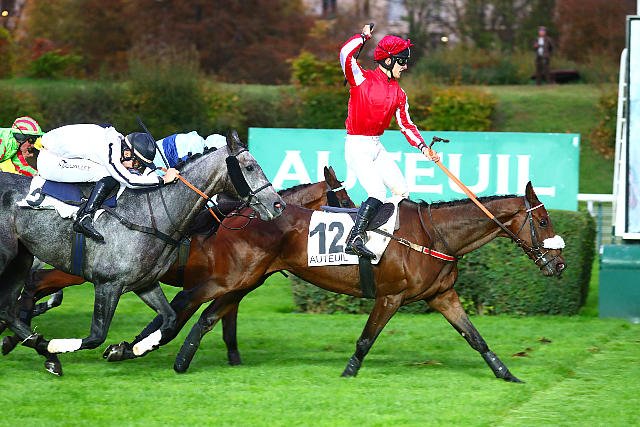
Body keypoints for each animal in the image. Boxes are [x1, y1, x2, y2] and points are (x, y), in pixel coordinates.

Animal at [0, 132, 284, 375]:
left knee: (8, 310)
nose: (277, 204)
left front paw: (126, 349)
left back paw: (41, 351)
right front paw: (55, 345)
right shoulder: (108, 284)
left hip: (21, 260)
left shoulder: (145, 283)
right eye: (250, 167)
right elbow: (96, 336)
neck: (151, 214)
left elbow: (169, 321)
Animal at [1, 166, 354, 365]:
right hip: (72, 271)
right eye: (345, 201)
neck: (258, 231)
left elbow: (222, 325)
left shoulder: (234, 288)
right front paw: (128, 347)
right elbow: (170, 322)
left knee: (32, 288)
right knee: (35, 285)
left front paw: (234, 359)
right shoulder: (201, 287)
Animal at [104, 182, 565, 382]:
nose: (559, 265)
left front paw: (507, 374)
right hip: (229, 277)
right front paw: (348, 372)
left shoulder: (442, 295)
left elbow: (476, 338)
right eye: (543, 221)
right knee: (183, 305)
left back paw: (181, 360)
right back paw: (128, 347)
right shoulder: (391, 296)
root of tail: (239, 212)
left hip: (245, 281)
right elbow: (366, 338)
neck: (435, 235)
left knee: (205, 318)